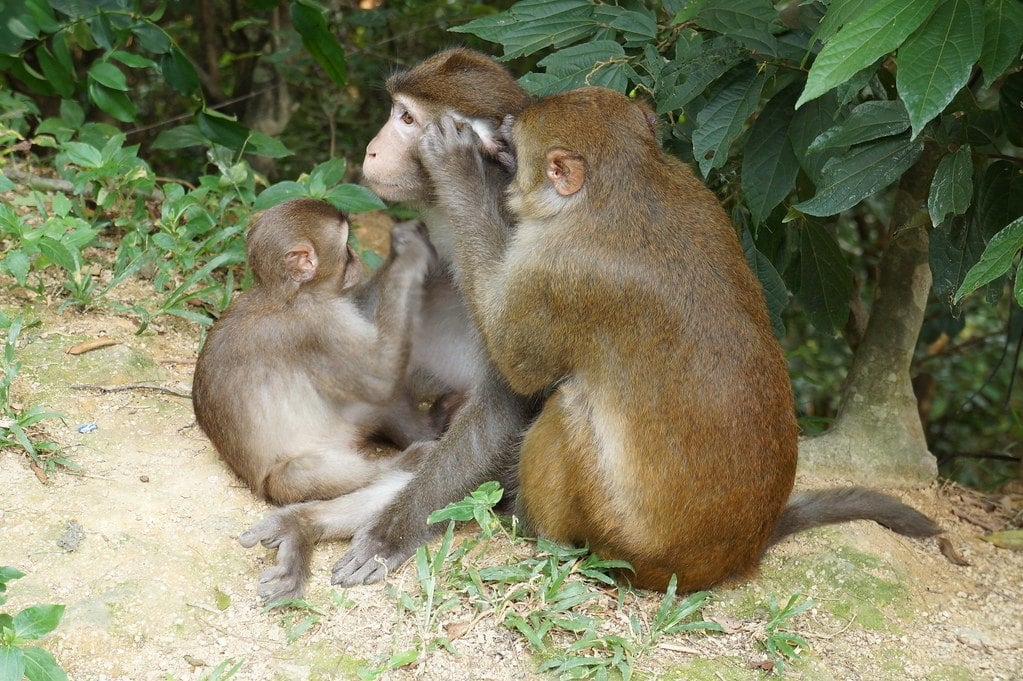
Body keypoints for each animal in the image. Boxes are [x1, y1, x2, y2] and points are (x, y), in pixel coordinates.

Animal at [193, 197, 446, 601]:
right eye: (345, 248)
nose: (357, 259)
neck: (287, 293)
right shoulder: (320, 322)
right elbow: (380, 377)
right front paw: (410, 256)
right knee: (292, 476)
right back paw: (406, 459)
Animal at [411, 87, 937, 588]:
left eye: (514, 145)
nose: (500, 130)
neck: (626, 186)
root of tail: (731, 558)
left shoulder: (556, 273)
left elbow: (515, 362)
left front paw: (458, 170)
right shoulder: (695, 188)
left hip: (616, 536)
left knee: (569, 406)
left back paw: (537, 531)